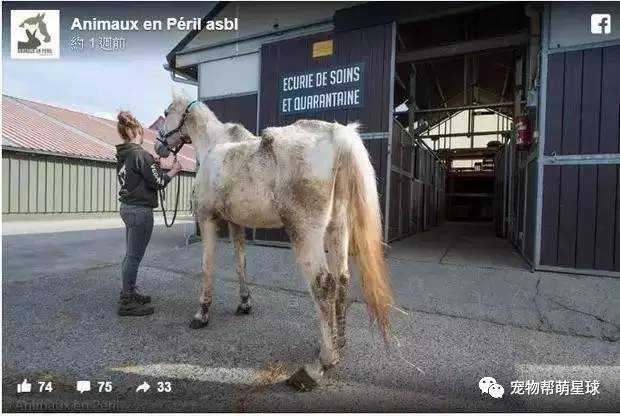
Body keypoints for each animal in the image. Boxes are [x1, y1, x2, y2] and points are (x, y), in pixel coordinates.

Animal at [157, 95, 394, 390]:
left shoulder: (208, 219)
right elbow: (240, 263)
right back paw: (339, 345)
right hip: (338, 229)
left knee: (323, 285)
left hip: (306, 234)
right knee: (341, 279)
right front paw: (244, 303)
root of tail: (336, 135)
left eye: (166, 112)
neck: (215, 144)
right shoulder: (236, 224)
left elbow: (207, 268)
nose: (159, 147)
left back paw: (322, 363)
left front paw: (201, 314)